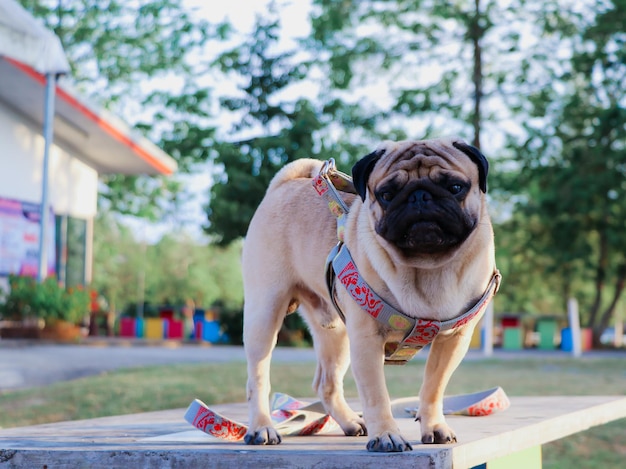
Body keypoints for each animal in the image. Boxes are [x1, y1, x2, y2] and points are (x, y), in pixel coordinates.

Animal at [240, 137, 498, 452]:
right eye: (387, 194)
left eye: (455, 187)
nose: (420, 196)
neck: (428, 266)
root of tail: (285, 185)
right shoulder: (366, 340)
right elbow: (377, 395)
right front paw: (387, 435)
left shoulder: (454, 340)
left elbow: (433, 387)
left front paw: (434, 426)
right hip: (264, 313)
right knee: (258, 377)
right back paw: (261, 428)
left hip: (337, 334)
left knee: (326, 383)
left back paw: (351, 422)